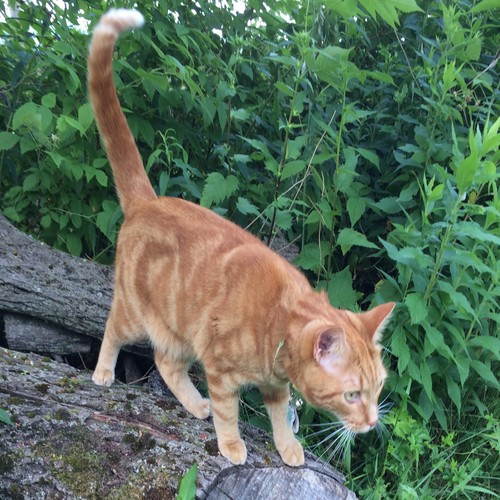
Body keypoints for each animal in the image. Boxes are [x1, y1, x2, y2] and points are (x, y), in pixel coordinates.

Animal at [88, 9, 395, 467]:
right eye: (352, 395)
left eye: (378, 389)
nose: (373, 422)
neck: (277, 318)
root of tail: (148, 201)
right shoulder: (219, 369)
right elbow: (228, 411)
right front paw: (231, 443)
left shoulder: (276, 384)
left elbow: (281, 416)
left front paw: (288, 447)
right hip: (135, 311)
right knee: (113, 330)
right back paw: (105, 372)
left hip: (178, 330)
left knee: (166, 362)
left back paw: (193, 403)